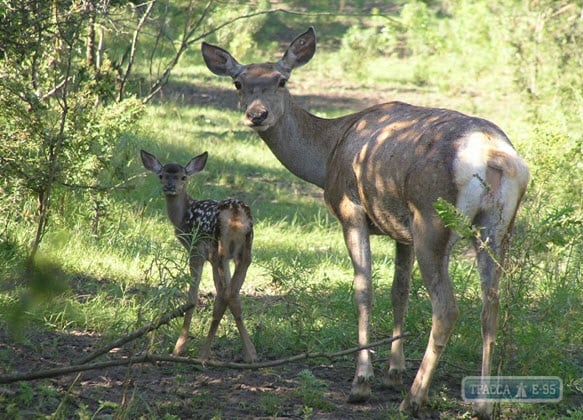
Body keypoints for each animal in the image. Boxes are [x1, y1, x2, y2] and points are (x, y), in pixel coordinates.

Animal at [140, 149, 258, 362]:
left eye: (183, 177)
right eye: (161, 175)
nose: (170, 186)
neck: (182, 218)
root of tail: (236, 214)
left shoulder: (196, 252)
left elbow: (192, 297)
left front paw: (179, 347)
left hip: (217, 250)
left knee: (223, 295)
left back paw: (203, 354)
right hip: (244, 252)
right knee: (232, 295)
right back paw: (250, 354)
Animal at [201, 27, 528, 418]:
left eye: (281, 80)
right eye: (238, 82)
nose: (257, 114)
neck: (327, 155)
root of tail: (496, 157)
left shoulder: (351, 209)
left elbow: (363, 290)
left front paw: (362, 382)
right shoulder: (401, 229)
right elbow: (399, 291)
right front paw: (393, 372)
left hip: (432, 219)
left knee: (447, 308)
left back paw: (414, 398)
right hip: (497, 227)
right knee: (491, 304)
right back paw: (482, 403)